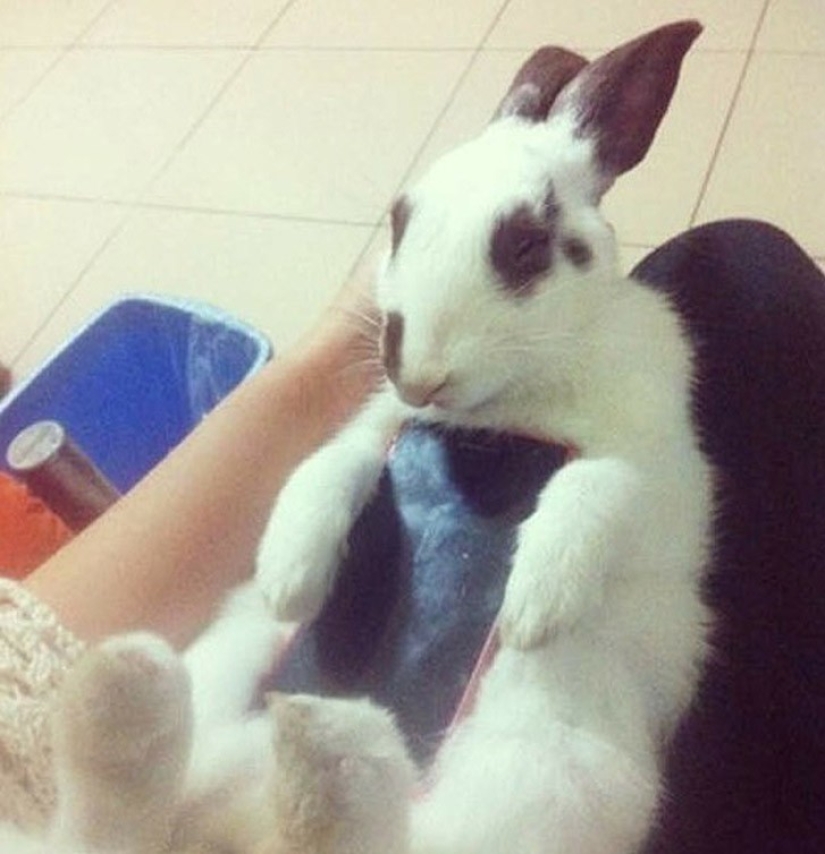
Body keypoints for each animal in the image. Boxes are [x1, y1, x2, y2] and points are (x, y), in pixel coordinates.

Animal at [256, 19, 716, 854]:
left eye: (527, 245)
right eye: (399, 218)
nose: (419, 377)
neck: (503, 413)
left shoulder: (656, 479)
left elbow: (597, 483)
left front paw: (535, 605)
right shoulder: (379, 433)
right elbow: (328, 468)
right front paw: (288, 579)